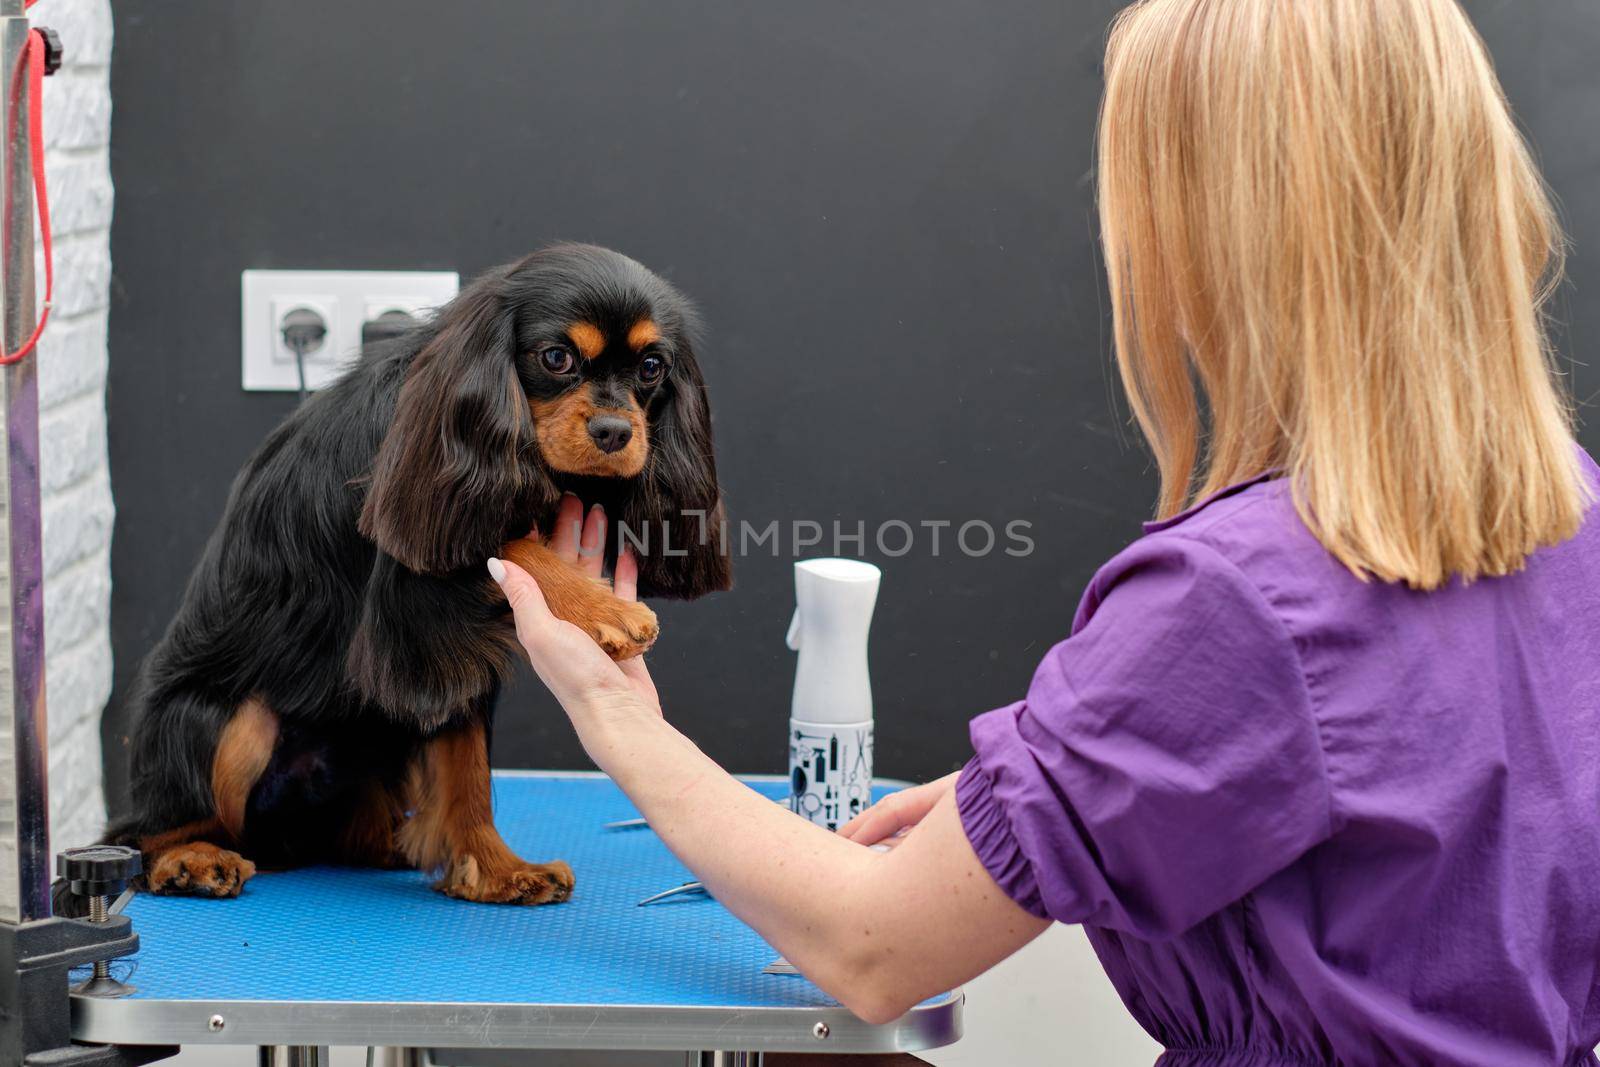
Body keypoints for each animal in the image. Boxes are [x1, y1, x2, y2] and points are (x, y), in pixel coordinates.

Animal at [96, 244, 729, 908]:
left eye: (652, 367)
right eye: (556, 358)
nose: (615, 432)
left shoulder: (452, 651)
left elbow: (465, 765)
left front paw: (496, 869)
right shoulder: (418, 579)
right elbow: (512, 547)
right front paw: (606, 612)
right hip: (230, 722)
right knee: (140, 832)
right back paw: (188, 857)